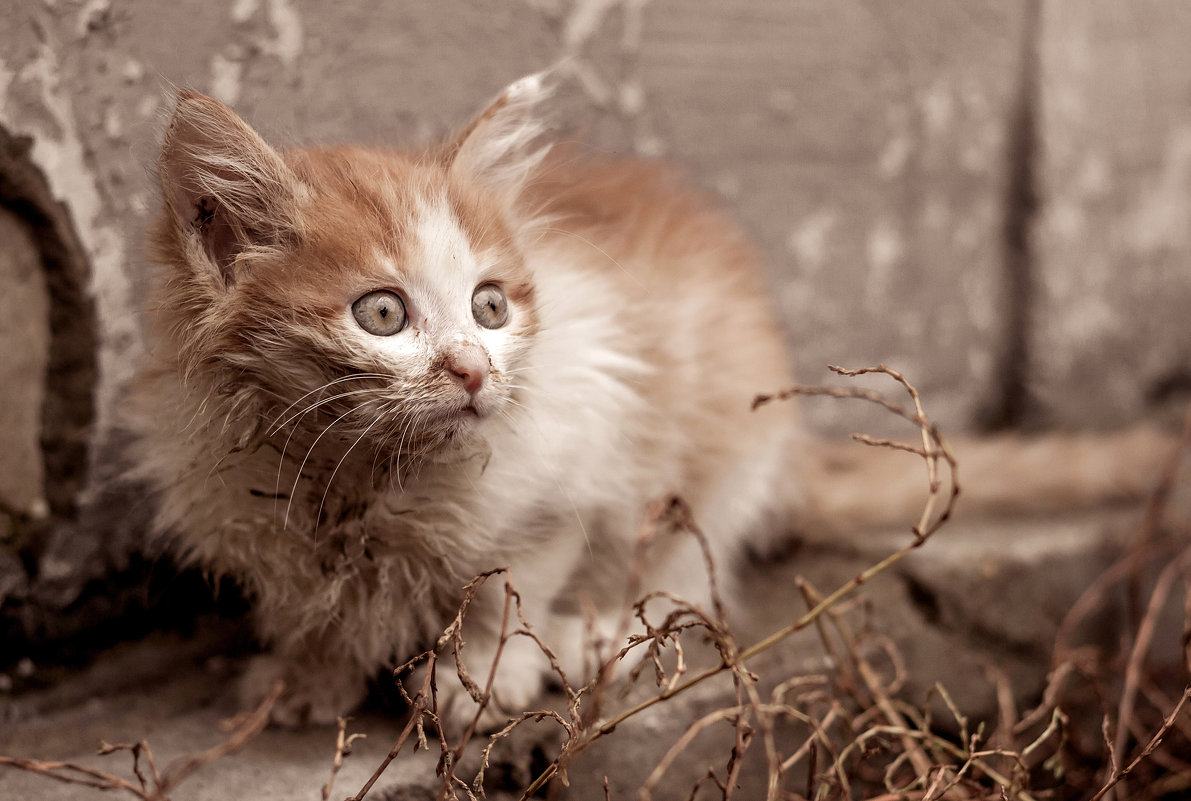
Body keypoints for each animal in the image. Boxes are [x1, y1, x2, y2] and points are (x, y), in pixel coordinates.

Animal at [139, 74, 805, 723]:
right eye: (382, 314)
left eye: (490, 306)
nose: (475, 370)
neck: (357, 469)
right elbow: (314, 613)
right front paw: (309, 675)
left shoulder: (576, 449)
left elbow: (509, 582)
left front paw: (486, 676)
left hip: (723, 453)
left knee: (688, 570)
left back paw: (595, 639)